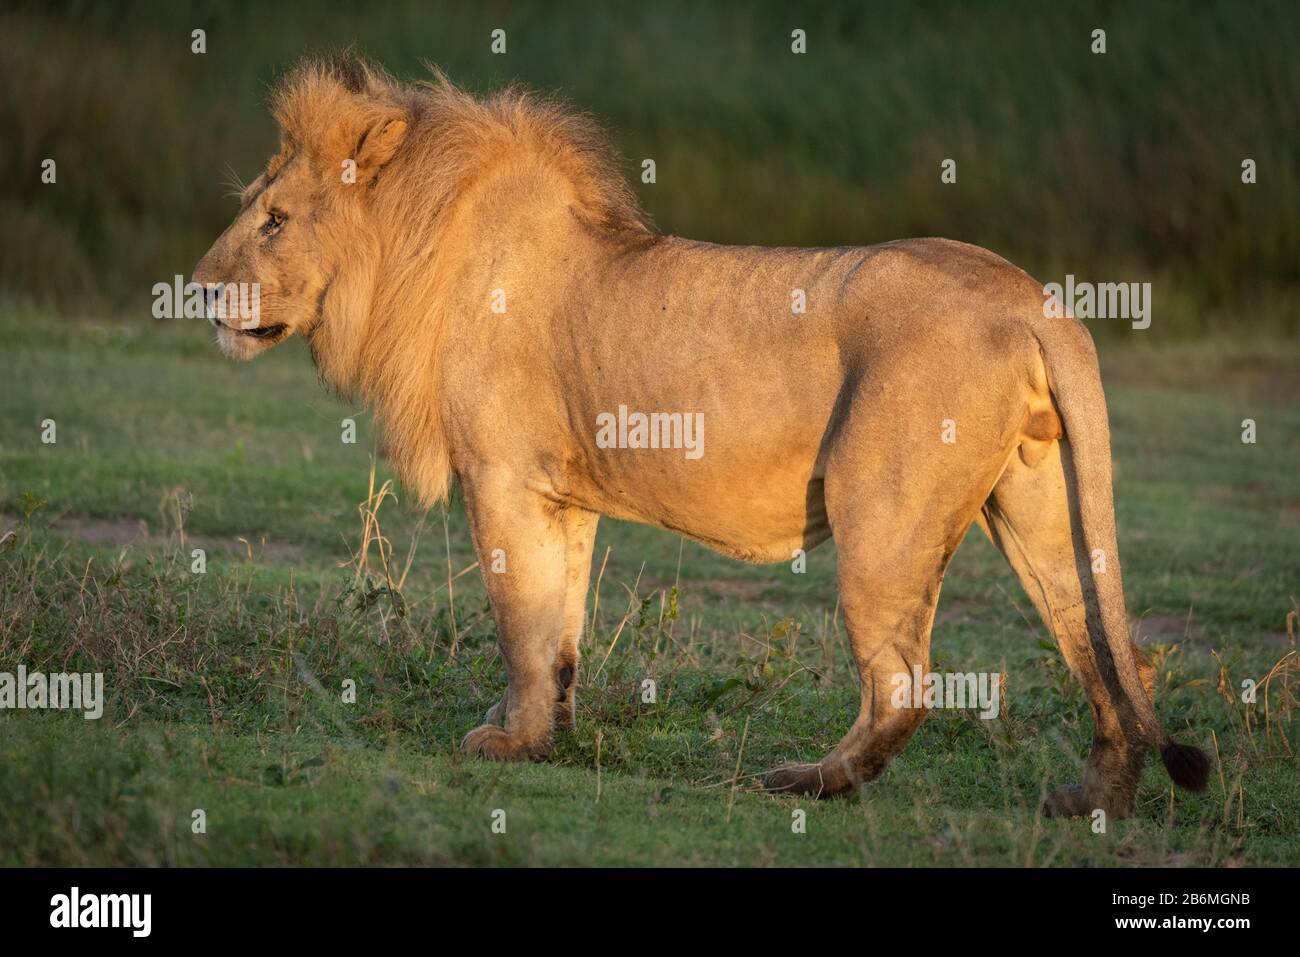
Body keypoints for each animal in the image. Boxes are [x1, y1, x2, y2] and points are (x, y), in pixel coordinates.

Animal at [194, 53, 1208, 816]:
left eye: (274, 220)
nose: (197, 291)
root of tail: (1033, 297)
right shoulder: (560, 495)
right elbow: (559, 629)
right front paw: (550, 738)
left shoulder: (503, 478)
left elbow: (519, 623)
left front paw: (506, 742)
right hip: (1037, 501)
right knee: (1106, 650)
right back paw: (1092, 801)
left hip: (882, 509)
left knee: (905, 680)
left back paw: (808, 781)